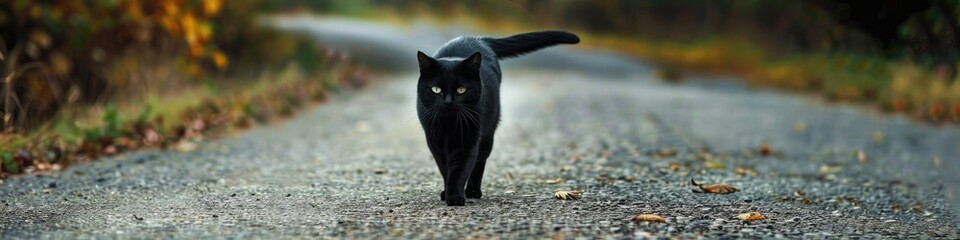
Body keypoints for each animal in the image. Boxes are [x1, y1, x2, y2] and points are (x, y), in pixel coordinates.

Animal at [414, 31, 576, 205]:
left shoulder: (469, 139)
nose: (448, 102)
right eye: (436, 89)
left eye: (461, 90)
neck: (448, 125)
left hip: (488, 132)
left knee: (480, 161)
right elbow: (445, 168)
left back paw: (473, 191)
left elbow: (461, 168)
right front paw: (448, 193)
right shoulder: (434, 141)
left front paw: (455, 197)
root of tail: (478, 38)